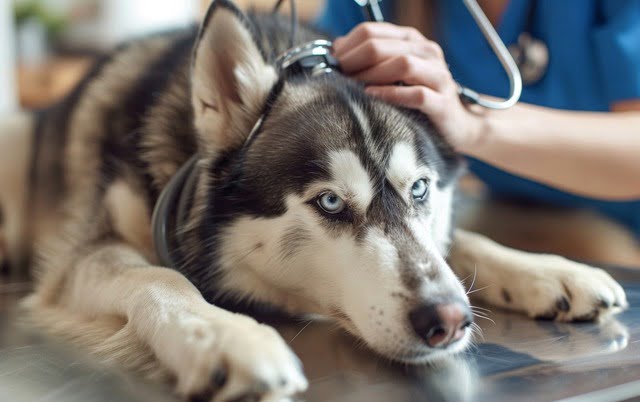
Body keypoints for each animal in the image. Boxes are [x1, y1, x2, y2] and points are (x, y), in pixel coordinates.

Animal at [0, 0, 628, 400]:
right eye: (329, 203)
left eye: (420, 189)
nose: (447, 320)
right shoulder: (82, 257)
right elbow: (160, 277)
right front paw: (228, 337)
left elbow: (463, 242)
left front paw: (549, 271)